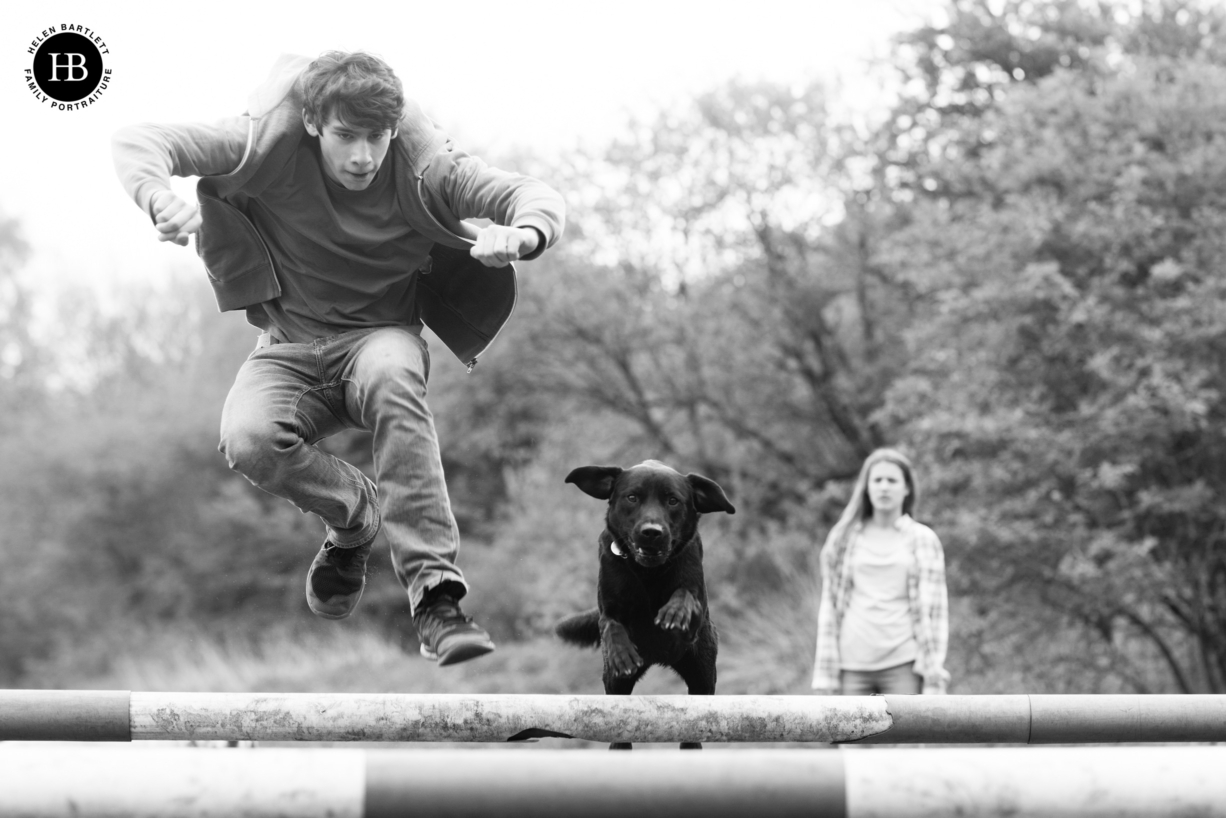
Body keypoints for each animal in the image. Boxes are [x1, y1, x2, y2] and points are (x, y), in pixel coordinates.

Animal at [559, 461, 735, 750]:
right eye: (632, 497)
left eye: (673, 501)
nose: (651, 532)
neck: (648, 573)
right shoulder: (608, 606)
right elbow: (611, 625)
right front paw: (623, 654)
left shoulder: (695, 604)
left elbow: (685, 596)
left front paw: (674, 614)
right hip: (615, 684)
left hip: (703, 675)